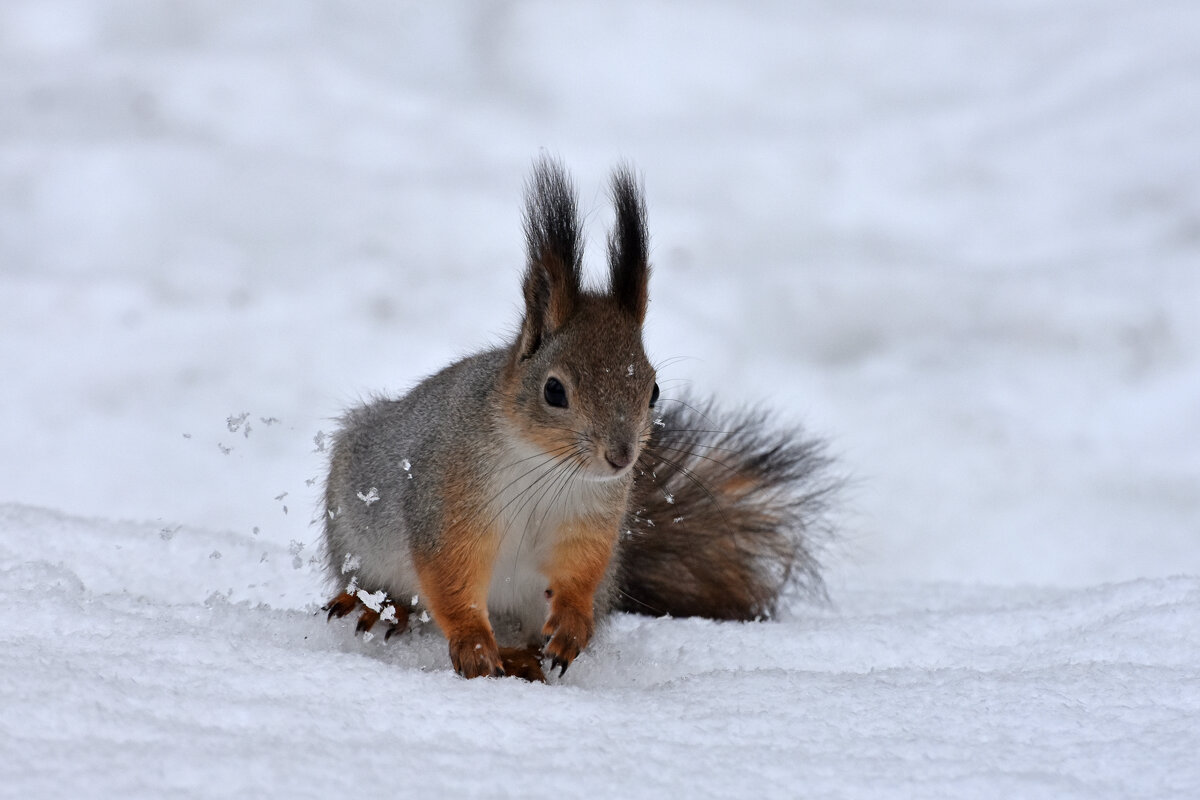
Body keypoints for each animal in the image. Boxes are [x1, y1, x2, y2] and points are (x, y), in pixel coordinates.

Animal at [319, 158, 835, 681]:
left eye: (654, 390)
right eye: (554, 391)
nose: (621, 457)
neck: (544, 467)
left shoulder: (591, 520)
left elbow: (578, 574)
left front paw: (569, 627)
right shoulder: (447, 502)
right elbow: (449, 579)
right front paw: (472, 644)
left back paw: (525, 657)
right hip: (355, 527)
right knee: (385, 588)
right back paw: (384, 608)